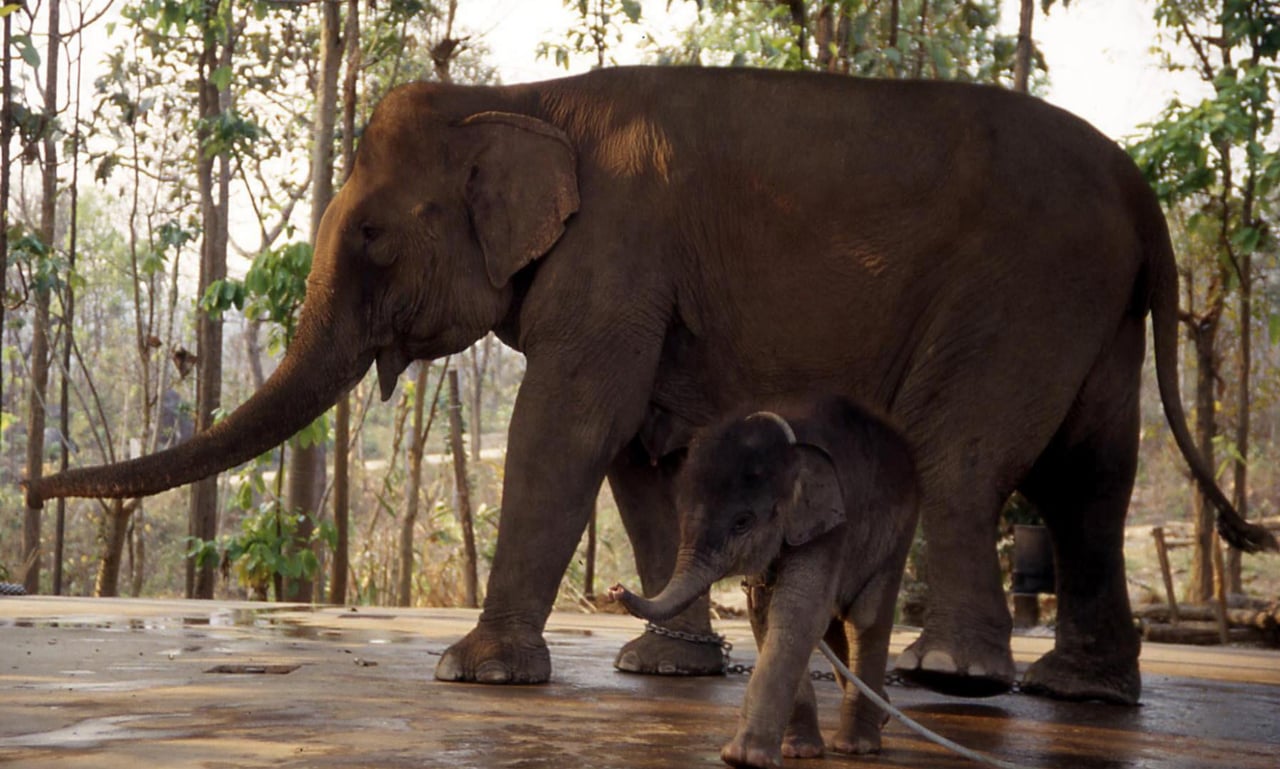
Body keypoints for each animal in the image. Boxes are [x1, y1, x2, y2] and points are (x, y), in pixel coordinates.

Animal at [24, 65, 1274, 701]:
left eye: (372, 234)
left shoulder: (616, 250)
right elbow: (639, 452)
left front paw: (473, 674)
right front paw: (659, 666)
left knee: (967, 458)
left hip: (1022, 288)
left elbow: (570, 424)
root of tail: (1143, 197)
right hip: (1093, 312)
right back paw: (1078, 691)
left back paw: (955, 676)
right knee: (1089, 482)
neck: (523, 91)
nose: (30, 486)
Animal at [611, 396, 921, 767]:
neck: (789, 447)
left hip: (897, 534)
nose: (615, 588)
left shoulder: (830, 528)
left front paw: (746, 758)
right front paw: (797, 751)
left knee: (865, 619)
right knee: (837, 625)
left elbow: (796, 613)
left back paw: (856, 746)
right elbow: (764, 614)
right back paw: (881, 713)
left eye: (742, 522)